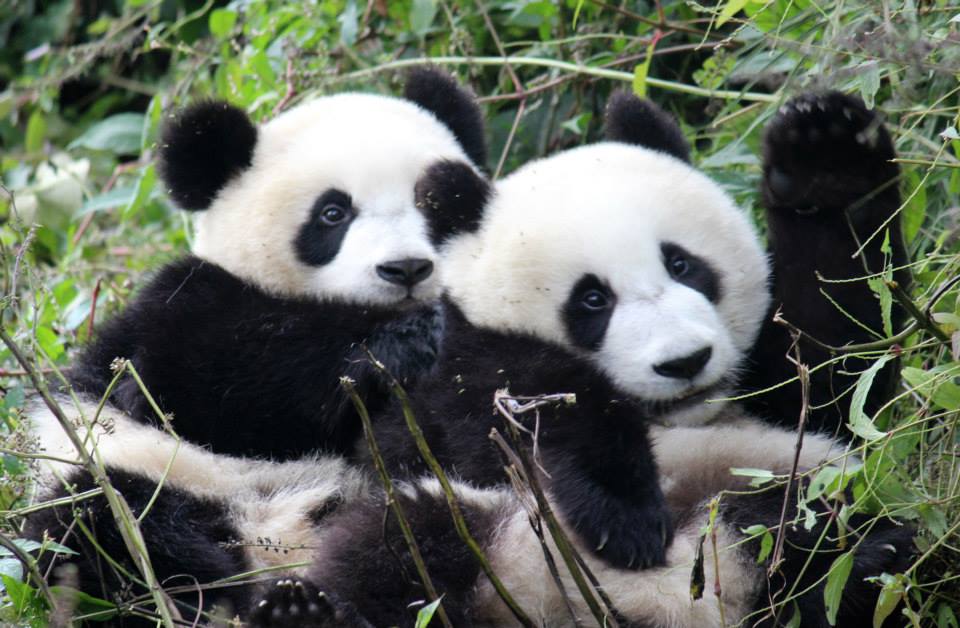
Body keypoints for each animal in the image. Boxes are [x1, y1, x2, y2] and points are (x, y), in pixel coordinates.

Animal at [249, 91, 916, 624]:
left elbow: (838, 348)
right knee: (394, 548)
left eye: (683, 264)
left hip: (784, 495)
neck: (671, 418)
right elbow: (519, 408)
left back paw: (865, 565)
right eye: (592, 300)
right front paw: (626, 518)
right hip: (484, 531)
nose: (684, 362)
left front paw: (823, 157)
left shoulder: (775, 395)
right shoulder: (439, 391)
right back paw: (302, 612)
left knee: (816, 538)